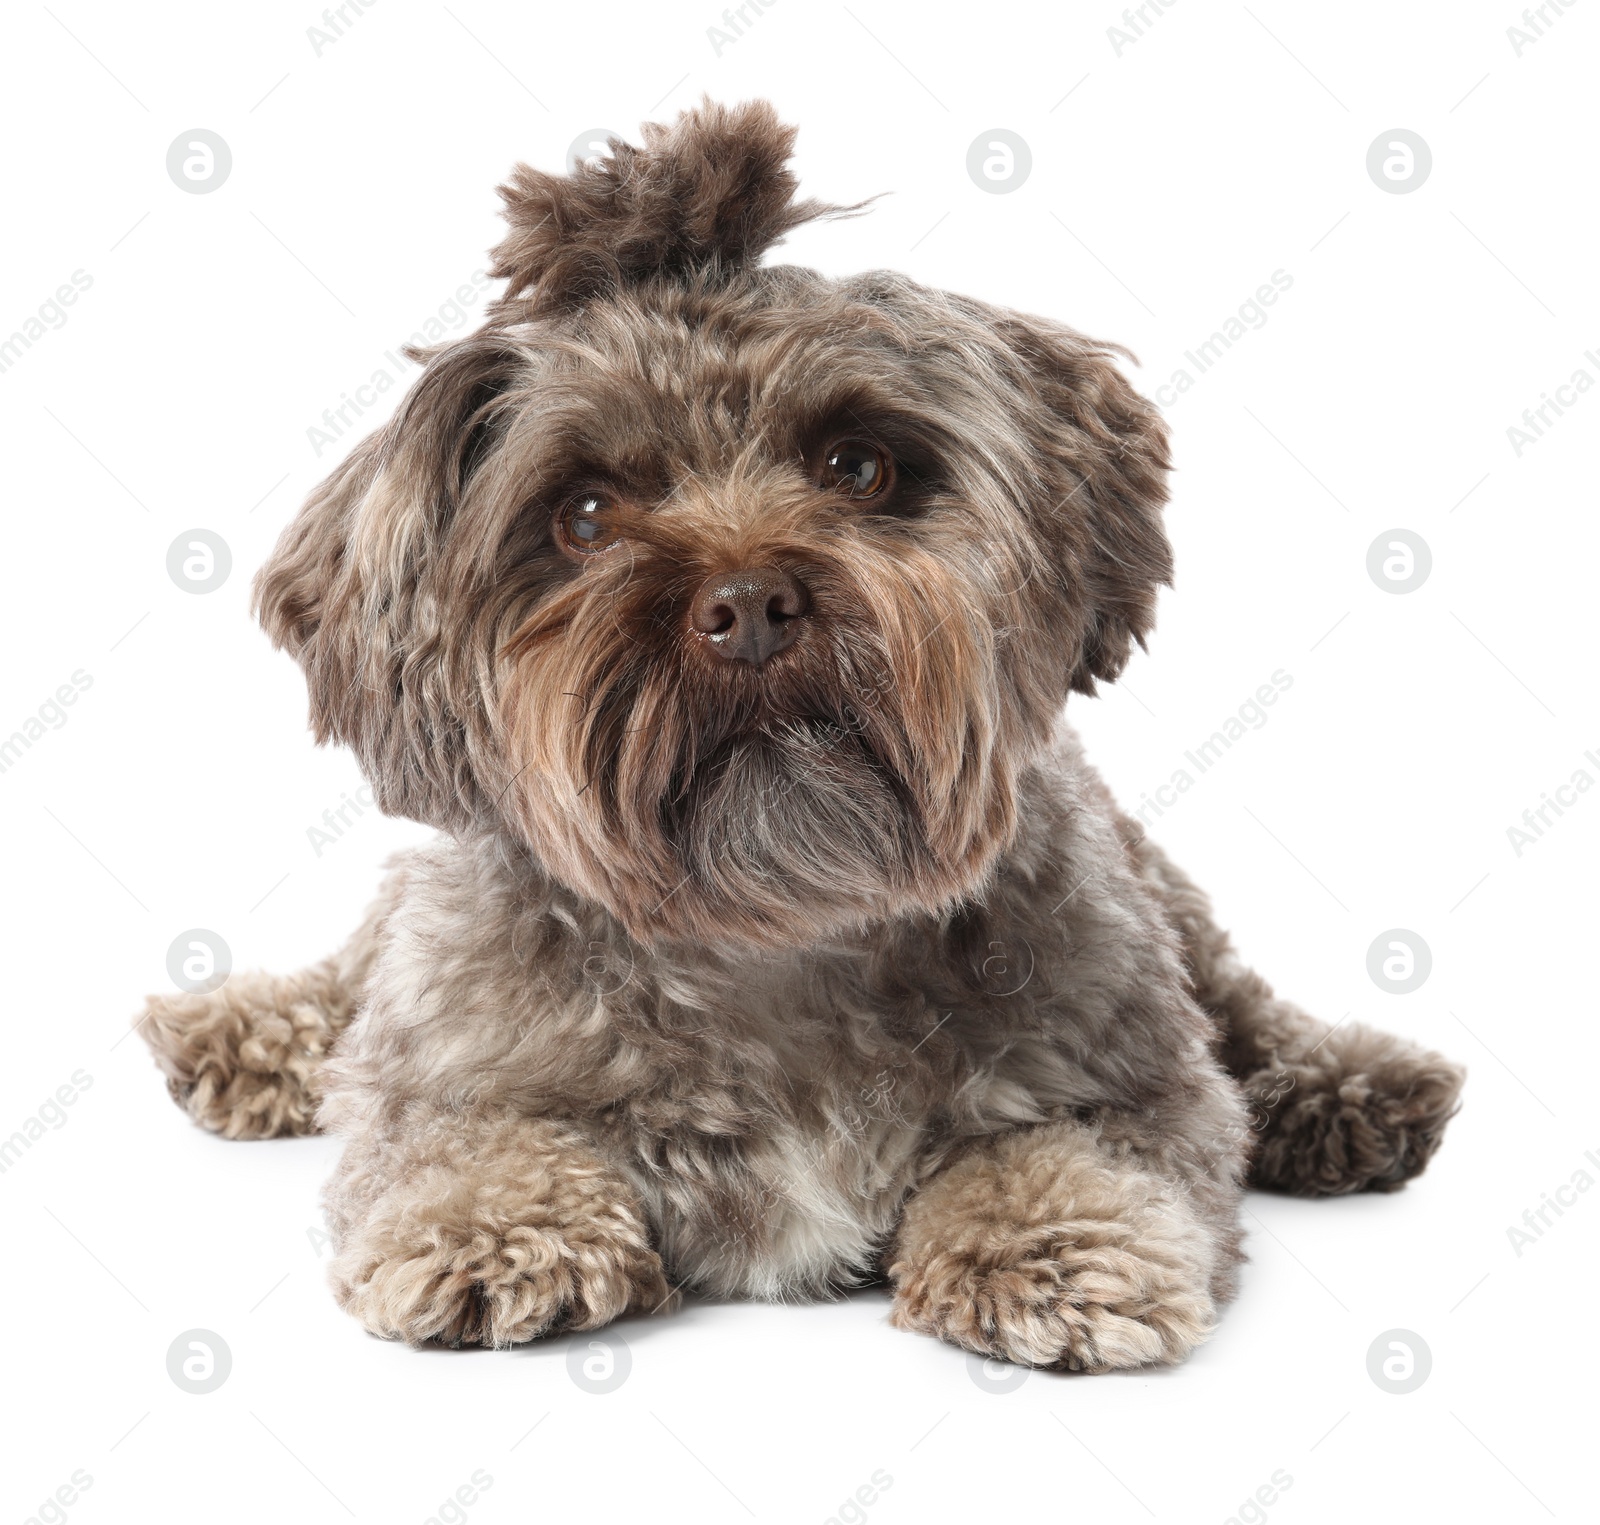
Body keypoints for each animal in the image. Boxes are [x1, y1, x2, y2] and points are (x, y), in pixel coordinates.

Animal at [137, 104, 1465, 1369]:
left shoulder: (1124, 1063)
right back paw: (239, 1031)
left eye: (857, 464)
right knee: (347, 973)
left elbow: (1075, 1146)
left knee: (1242, 1001)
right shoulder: (440, 1059)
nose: (749, 602)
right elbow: (459, 1136)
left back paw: (1346, 1086)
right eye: (584, 514)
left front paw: (1044, 1245)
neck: (778, 936)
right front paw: (496, 1226)